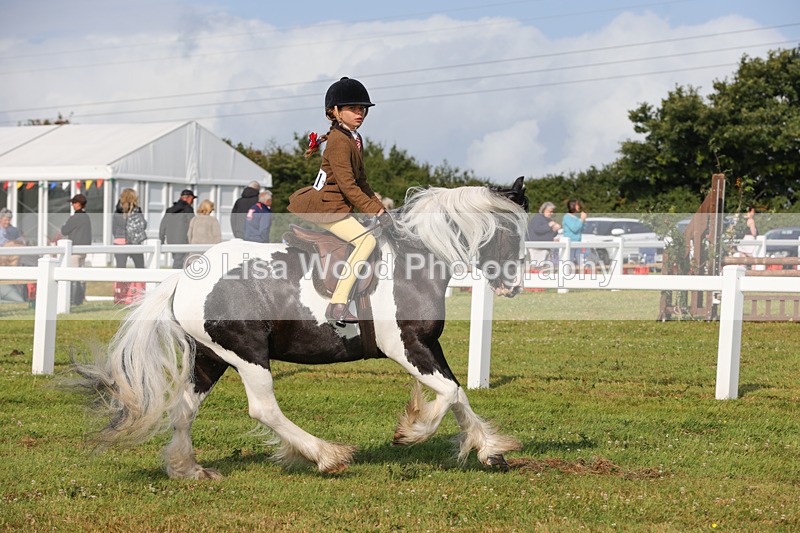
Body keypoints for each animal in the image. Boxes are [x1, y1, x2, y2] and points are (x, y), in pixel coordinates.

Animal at [75, 177, 529, 479]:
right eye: (510, 232)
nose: (513, 285)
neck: (414, 258)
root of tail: (184, 277)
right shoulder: (407, 345)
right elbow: (449, 393)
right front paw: (412, 431)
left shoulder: (428, 346)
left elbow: (459, 393)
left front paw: (489, 450)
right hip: (247, 354)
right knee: (263, 408)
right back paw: (327, 455)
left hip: (209, 356)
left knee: (185, 409)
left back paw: (188, 468)